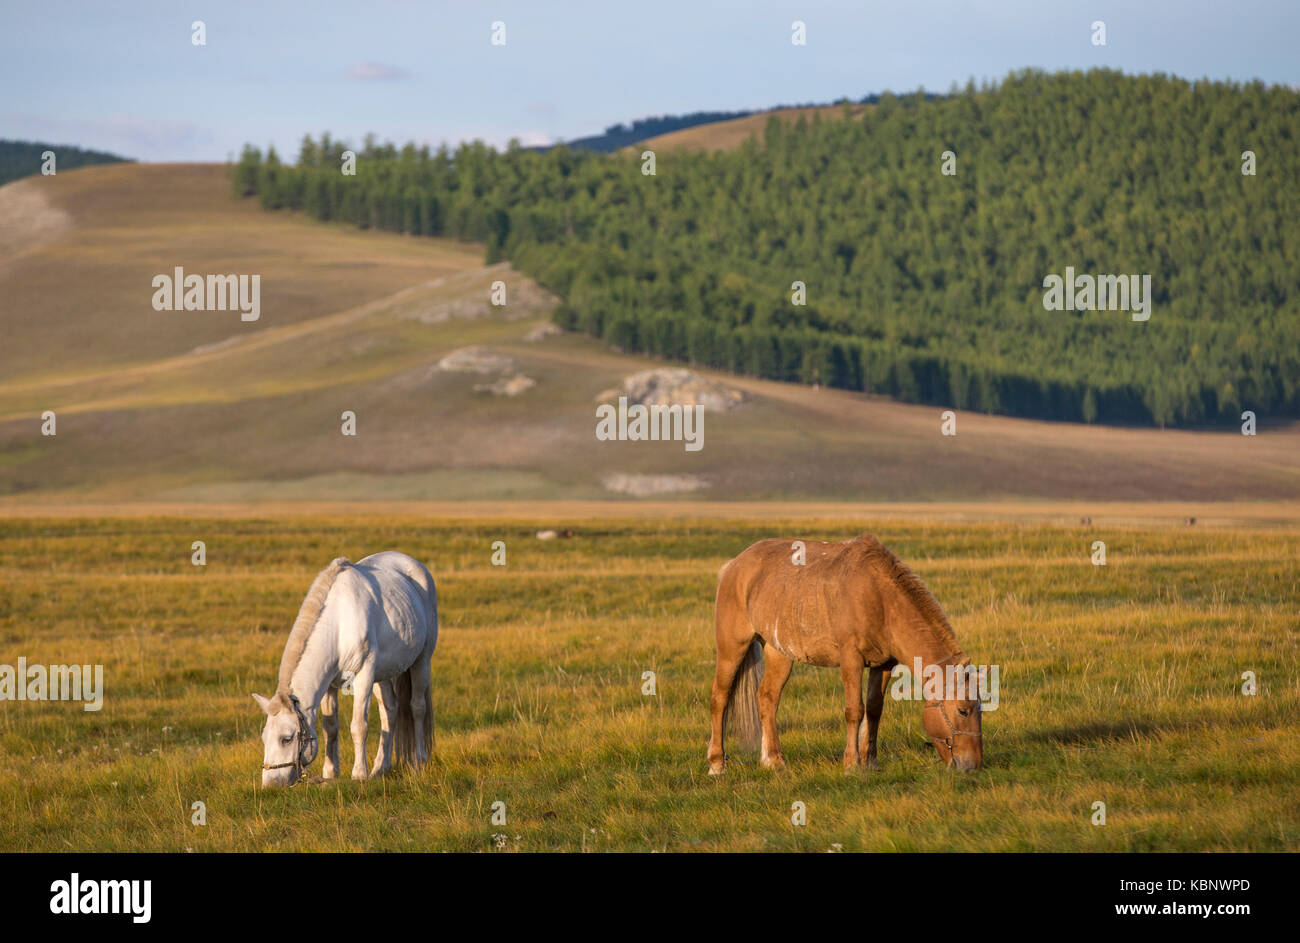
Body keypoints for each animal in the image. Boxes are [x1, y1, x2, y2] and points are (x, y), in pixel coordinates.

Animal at [253, 551, 438, 787]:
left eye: (287, 738)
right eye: (264, 737)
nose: (271, 785)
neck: (339, 623)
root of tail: (411, 563)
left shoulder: (364, 675)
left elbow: (359, 726)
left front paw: (359, 774)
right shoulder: (329, 684)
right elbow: (330, 727)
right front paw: (330, 772)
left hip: (422, 661)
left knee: (417, 707)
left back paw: (418, 763)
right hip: (383, 676)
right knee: (390, 710)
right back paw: (381, 768)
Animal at [706, 534, 983, 774]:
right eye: (962, 711)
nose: (973, 764)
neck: (880, 598)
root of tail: (734, 565)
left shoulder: (884, 664)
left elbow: (874, 709)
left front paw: (870, 761)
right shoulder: (851, 659)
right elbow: (855, 710)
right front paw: (852, 764)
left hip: (779, 652)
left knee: (767, 698)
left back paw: (774, 761)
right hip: (732, 647)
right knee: (720, 698)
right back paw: (717, 764)